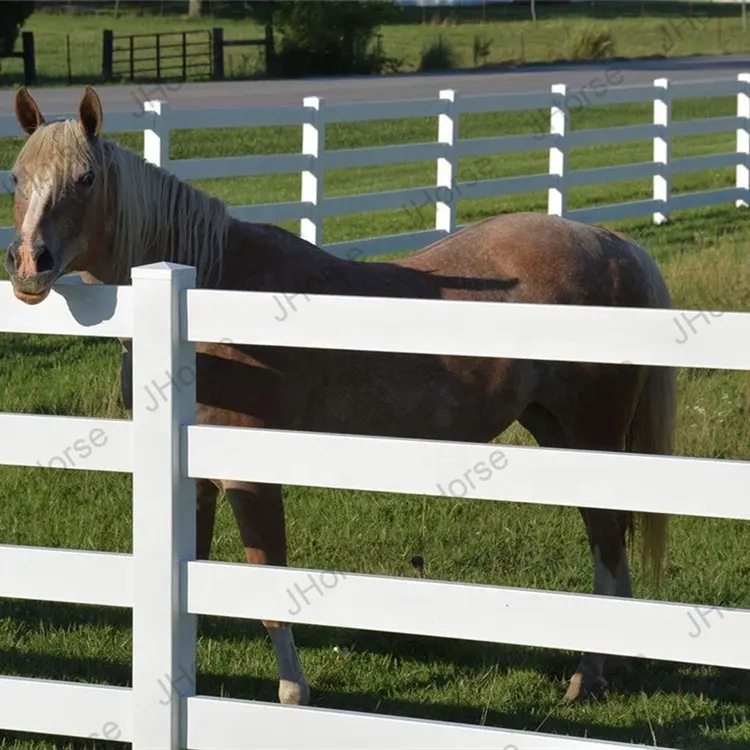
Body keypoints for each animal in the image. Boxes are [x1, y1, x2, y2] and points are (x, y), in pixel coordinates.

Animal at [4, 86, 676, 712]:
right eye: (17, 176)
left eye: (86, 178)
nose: (29, 265)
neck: (208, 296)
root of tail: (613, 244)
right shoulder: (194, 482)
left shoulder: (251, 477)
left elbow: (267, 585)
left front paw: (292, 693)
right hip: (559, 432)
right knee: (609, 538)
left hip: (590, 434)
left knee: (608, 540)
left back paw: (590, 674)